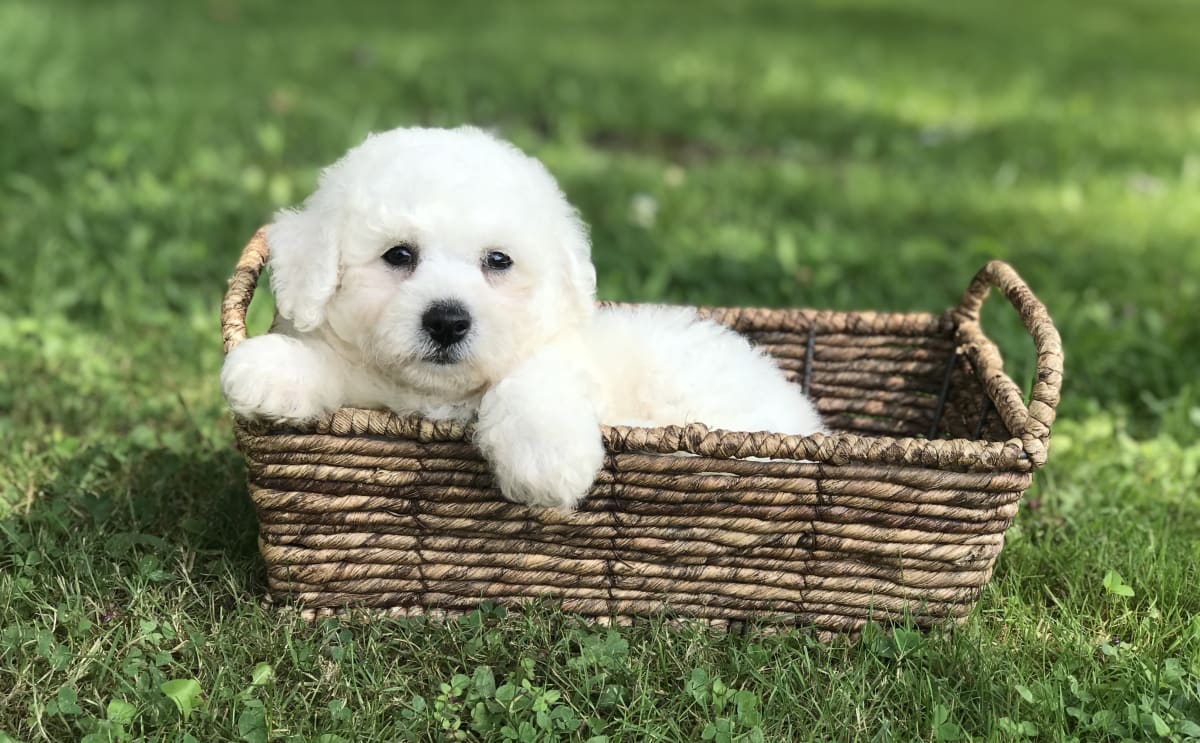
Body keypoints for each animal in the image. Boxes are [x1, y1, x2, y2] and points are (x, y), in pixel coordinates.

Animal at [223, 127, 825, 511]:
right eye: (398, 255)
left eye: (498, 261)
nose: (447, 321)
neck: (436, 394)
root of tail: (807, 421)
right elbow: (326, 359)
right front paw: (266, 370)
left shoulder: (559, 357)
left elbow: (529, 383)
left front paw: (546, 460)